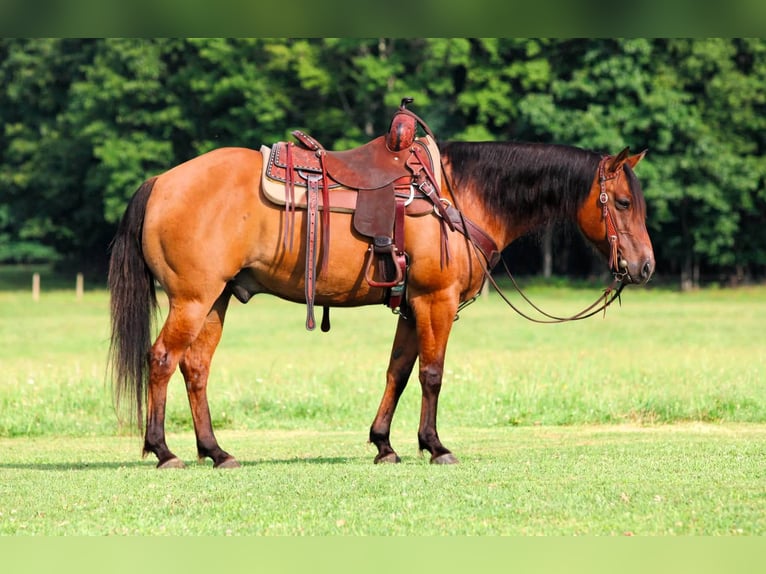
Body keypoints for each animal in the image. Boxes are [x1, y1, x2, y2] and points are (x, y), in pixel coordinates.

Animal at [108, 128, 654, 468]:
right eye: (623, 202)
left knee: (195, 367)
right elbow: (432, 374)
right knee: (162, 359)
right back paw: (164, 451)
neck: (457, 197)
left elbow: (398, 371)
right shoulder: (437, 301)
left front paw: (384, 444)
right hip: (192, 298)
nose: (645, 266)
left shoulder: (412, 306)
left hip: (215, 299)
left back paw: (216, 451)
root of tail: (160, 182)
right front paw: (435, 446)